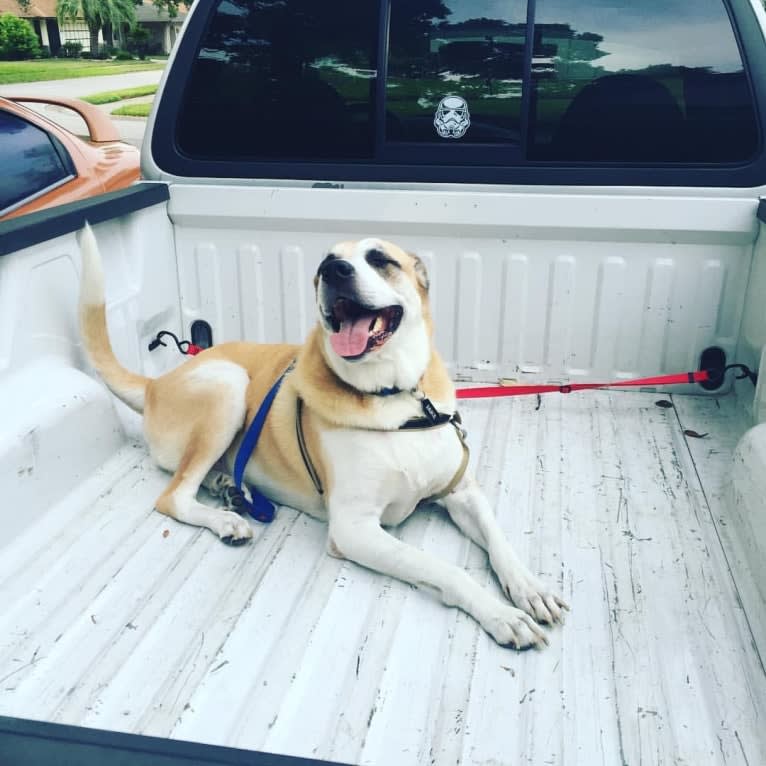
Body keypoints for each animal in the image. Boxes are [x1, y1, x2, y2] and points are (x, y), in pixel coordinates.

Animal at [78, 225, 568, 652]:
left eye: (379, 259)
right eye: (323, 264)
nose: (335, 271)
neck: (394, 397)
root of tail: (155, 383)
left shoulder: (461, 491)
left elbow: (499, 542)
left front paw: (528, 589)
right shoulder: (355, 529)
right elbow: (445, 569)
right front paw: (500, 615)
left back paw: (228, 488)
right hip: (229, 384)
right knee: (173, 496)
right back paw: (225, 519)